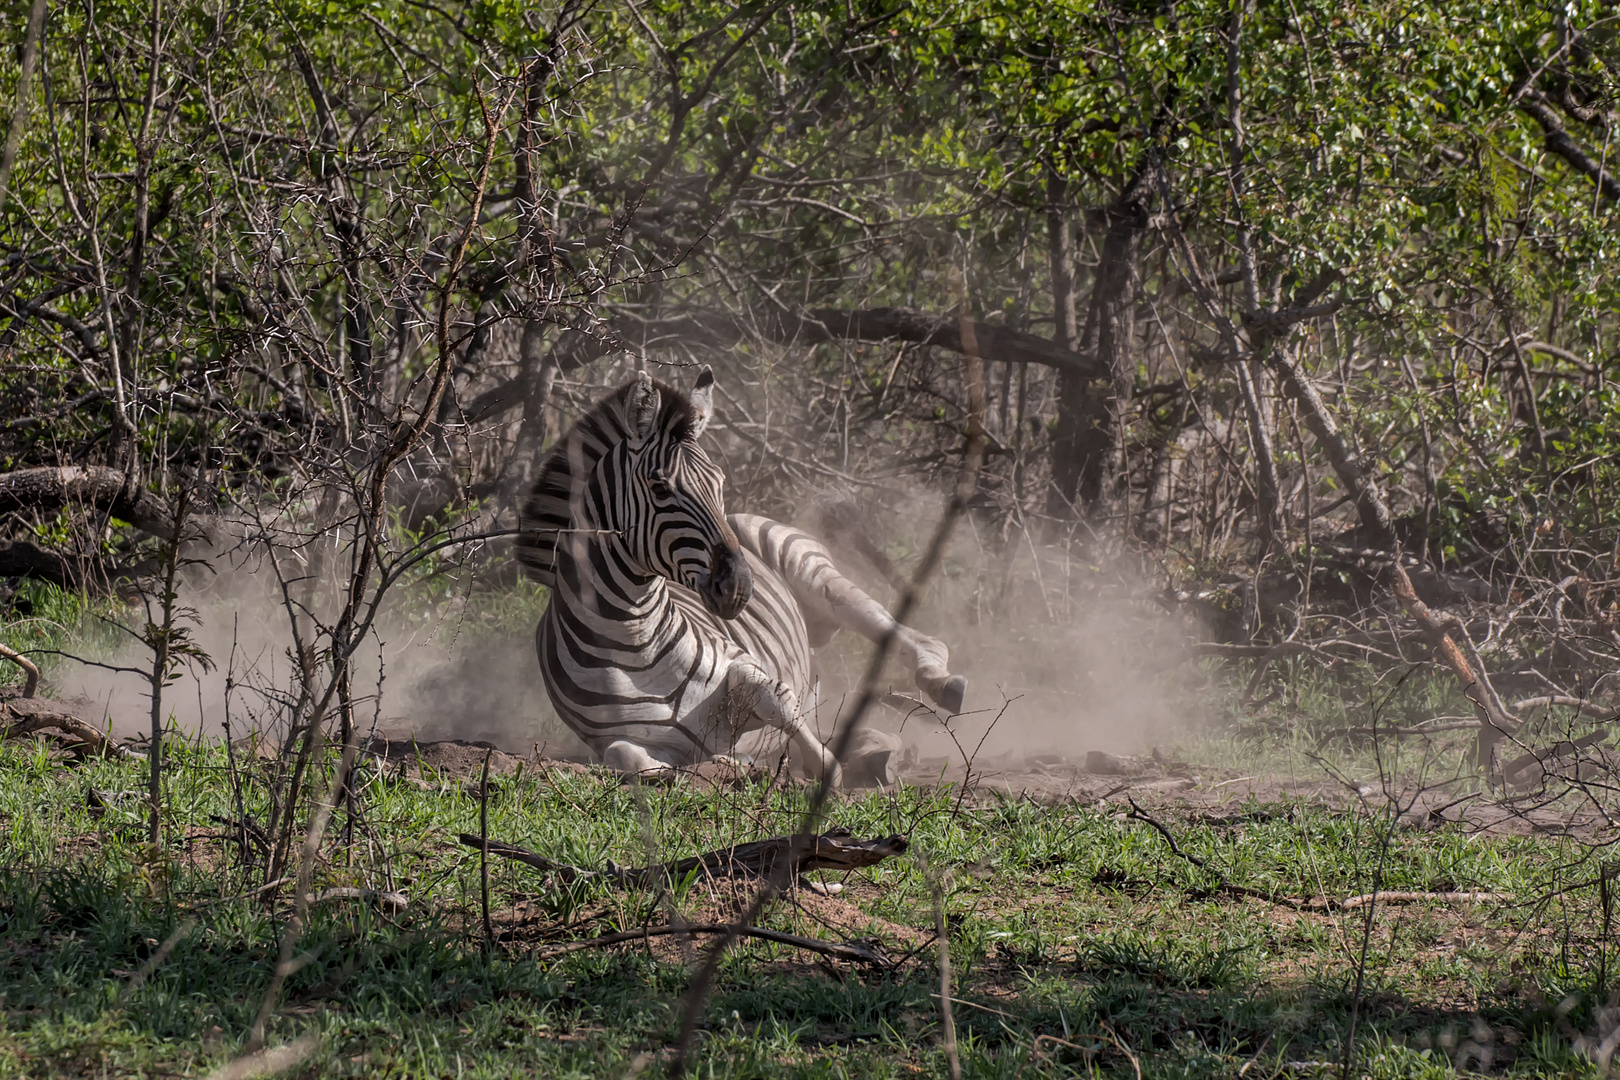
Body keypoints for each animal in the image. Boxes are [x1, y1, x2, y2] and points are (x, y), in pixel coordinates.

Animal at [515, 367, 959, 780]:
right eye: (660, 488)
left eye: (719, 482)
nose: (739, 587)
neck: (634, 639)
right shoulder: (619, 741)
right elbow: (628, 757)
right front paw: (731, 762)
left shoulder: (743, 664)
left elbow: (780, 704)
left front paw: (815, 769)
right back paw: (875, 753)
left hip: (815, 574)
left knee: (914, 638)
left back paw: (940, 685)